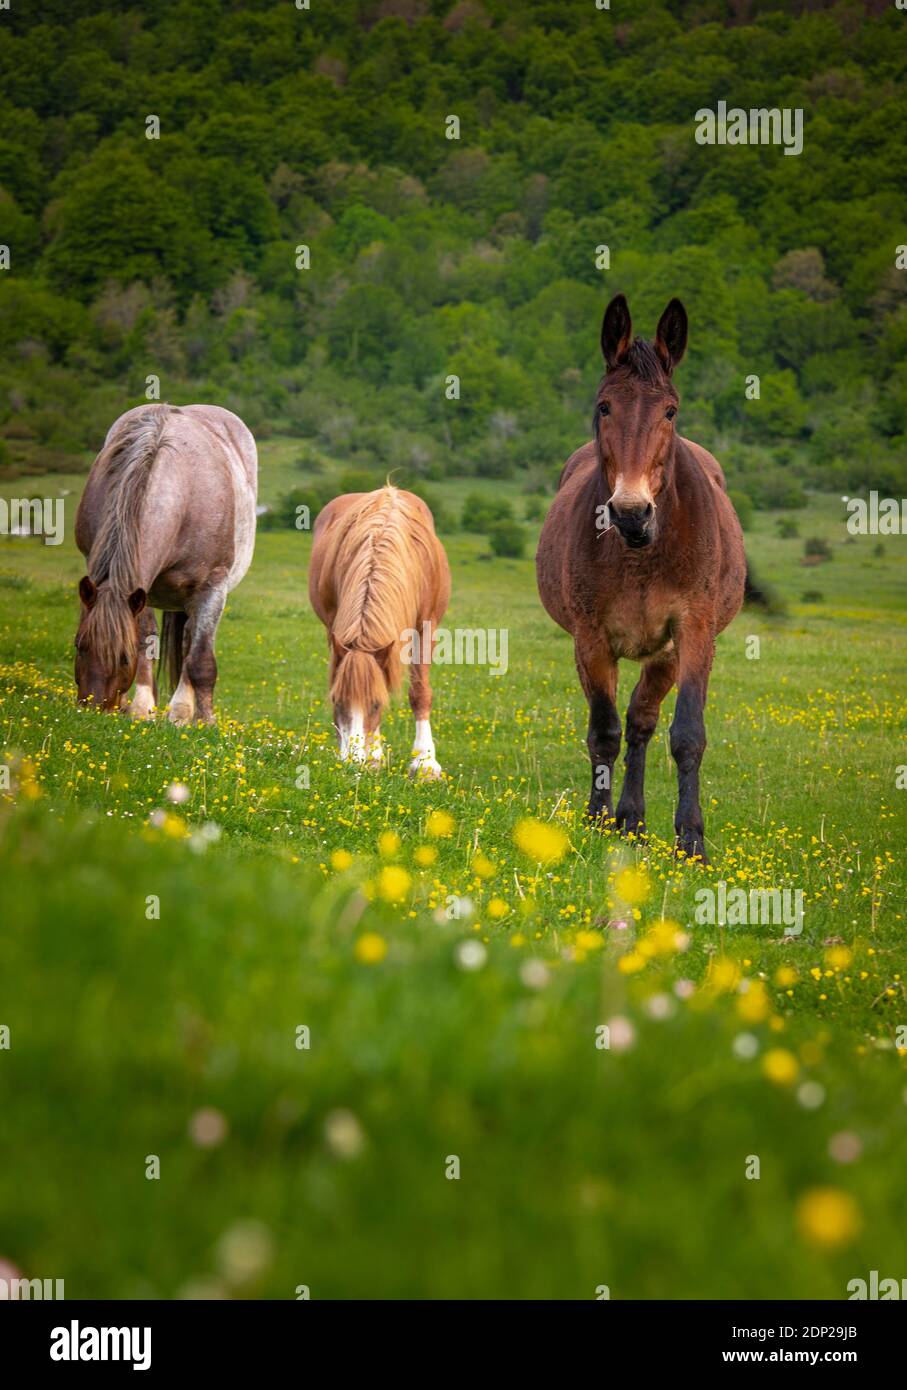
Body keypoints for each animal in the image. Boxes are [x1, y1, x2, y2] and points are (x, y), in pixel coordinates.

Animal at [74, 403, 257, 723]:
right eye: (79, 646)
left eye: (123, 658)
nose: (94, 709)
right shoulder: (143, 589)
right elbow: (146, 639)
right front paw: (141, 707)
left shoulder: (212, 588)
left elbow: (200, 659)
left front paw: (205, 721)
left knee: (189, 642)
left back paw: (181, 711)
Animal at [309, 485, 450, 777]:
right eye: (338, 701)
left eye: (376, 703)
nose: (351, 765)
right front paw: (365, 754)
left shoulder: (425, 628)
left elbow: (420, 692)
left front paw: (425, 762)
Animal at [536, 294, 747, 864]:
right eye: (605, 406)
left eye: (670, 410)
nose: (631, 512)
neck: (641, 551)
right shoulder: (591, 638)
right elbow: (603, 730)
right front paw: (595, 819)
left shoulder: (692, 633)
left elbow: (686, 733)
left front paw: (691, 840)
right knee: (627, 724)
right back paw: (624, 819)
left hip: (664, 654)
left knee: (644, 721)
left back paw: (634, 819)